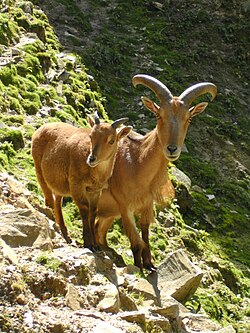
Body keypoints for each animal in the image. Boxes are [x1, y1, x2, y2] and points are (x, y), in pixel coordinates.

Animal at [31, 114, 131, 249]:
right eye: (91, 136)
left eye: (111, 140)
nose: (92, 159)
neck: (94, 172)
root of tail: (40, 129)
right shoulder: (76, 184)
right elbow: (84, 209)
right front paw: (88, 242)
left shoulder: (95, 191)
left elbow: (93, 212)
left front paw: (96, 244)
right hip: (39, 170)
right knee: (49, 199)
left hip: (58, 182)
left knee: (58, 201)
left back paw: (65, 232)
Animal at [94, 74, 216, 268]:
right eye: (159, 115)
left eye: (188, 118)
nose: (172, 149)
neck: (137, 162)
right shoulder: (125, 206)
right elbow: (136, 242)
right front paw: (139, 266)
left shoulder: (146, 205)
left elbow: (145, 235)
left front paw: (149, 264)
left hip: (108, 213)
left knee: (100, 231)